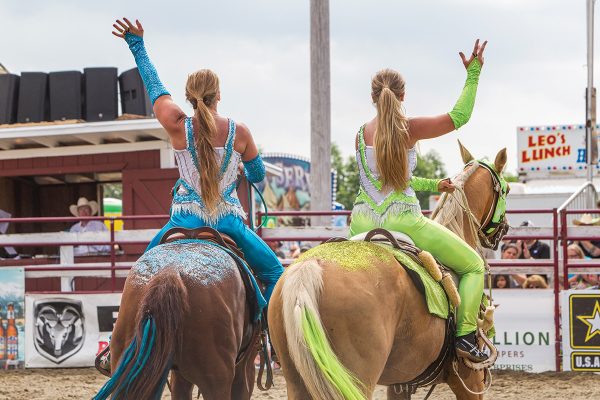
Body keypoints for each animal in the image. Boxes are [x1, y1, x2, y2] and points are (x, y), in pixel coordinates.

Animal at [270, 144, 508, 400]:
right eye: (506, 189)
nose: (504, 229)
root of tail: (310, 268)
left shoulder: (399, 384)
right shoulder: (469, 379)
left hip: (297, 381)